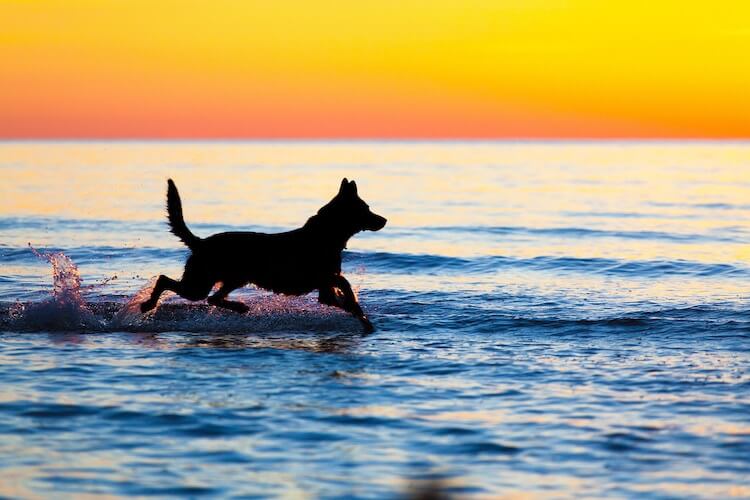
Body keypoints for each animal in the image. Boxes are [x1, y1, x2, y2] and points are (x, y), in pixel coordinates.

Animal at [140, 177, 388, 332]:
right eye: (366, 209)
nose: (384, 220)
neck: (326, 234)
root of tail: (200, 242)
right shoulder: (323, 278)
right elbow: (345, 287)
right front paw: (360, 313)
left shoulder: (325, 287)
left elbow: (342, 293)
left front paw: (359, 314)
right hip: (200, 284)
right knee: (166, 280)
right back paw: (148, 304)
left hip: (232, 279)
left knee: (213, 298)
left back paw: (239, 307)